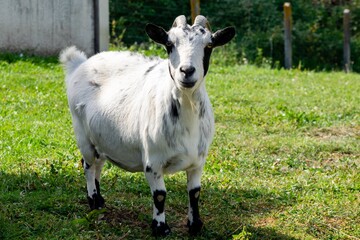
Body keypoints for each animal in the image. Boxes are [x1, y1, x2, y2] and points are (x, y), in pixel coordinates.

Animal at [60, 15, 235, 236]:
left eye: (209, 45)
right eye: (169, 44)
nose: (186, 71)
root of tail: (79, 64)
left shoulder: (198, 161)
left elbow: (195, 193)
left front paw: (195, 225)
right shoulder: (153, 161)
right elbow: (160, 195)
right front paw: (160, 228)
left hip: (100, 138)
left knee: (98, 164)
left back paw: (100, 201)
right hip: (82, 133)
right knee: (88, 165)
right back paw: (93, 202)